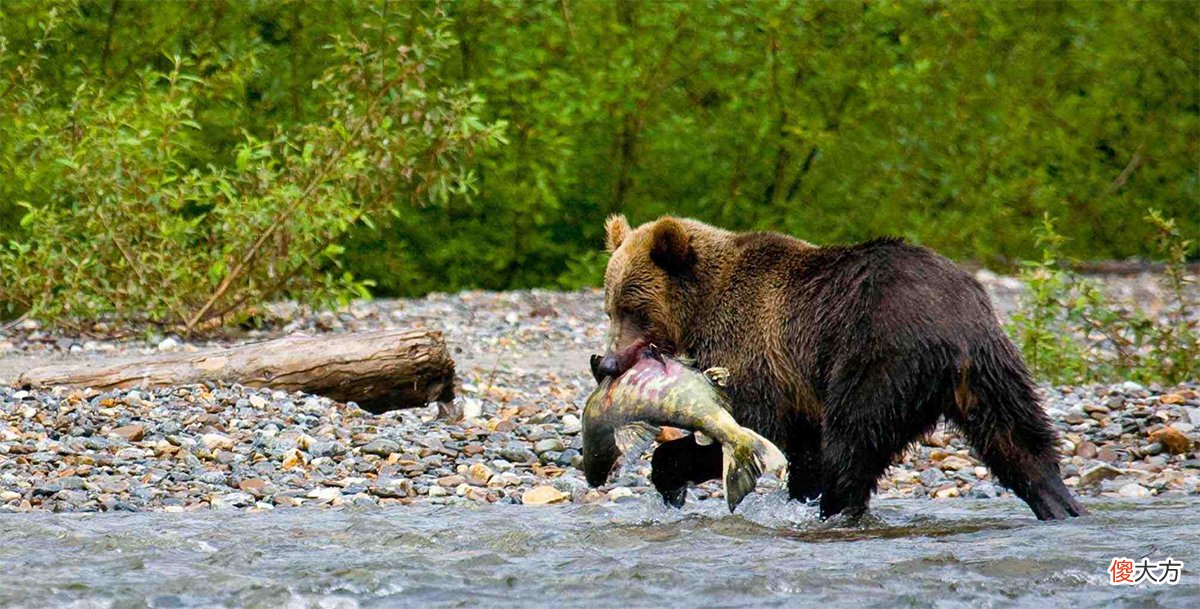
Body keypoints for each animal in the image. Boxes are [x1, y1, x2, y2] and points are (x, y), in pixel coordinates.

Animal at [593, 214, 1086, 521]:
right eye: (610, 308)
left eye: (637, 310)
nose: (607, 363)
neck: (701, 309)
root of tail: (957, 326)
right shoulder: (796, 384)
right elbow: (801, 446)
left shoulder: (755, 350)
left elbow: (759, 427)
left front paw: (670, 471)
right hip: (991, 366)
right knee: (1017, 437)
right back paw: (1060, 502)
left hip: (878, 357)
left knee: (852, 439)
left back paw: (836, 508)